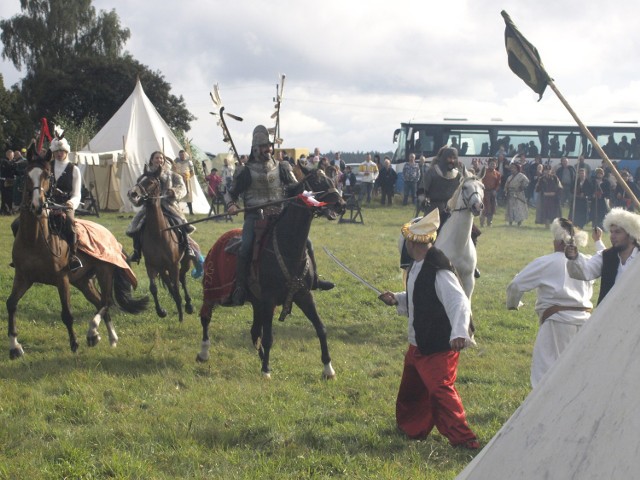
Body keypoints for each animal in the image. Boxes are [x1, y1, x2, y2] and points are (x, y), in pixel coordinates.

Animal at [6, 156, 149, 358]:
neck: (35, 239)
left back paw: (93, 333)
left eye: (46, 175)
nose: (37, 205)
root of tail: (111, 237)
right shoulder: (23, 277)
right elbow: (11, 304)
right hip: (83, 281)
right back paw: (110, 338)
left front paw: (74, 344)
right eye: (27, 175)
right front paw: (15, 347)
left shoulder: (62, 279)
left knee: (106, 302)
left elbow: (67, 313)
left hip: (104, 273)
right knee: (100, 302)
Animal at [127, 168, 192, 322]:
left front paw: (181, 316)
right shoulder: (151, 265)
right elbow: (153, 288)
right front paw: (161, 311)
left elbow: (177, 285)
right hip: (162, 268)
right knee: (169, 283)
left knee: (182, 279)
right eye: (138, 180)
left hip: (184, 262)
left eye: (150, 182)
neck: (158, 234)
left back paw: (188, 305)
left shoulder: (174, 265)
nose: (133, 193)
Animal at [196, 168, 344, 378]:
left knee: (254, 332)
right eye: (317, 182)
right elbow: (268, 337)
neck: (288, 247)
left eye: (331, 178)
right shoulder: (269, 300)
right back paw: (204, 352)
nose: (341, 205)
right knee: (205, 318)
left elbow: (321, 328)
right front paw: (266, 371)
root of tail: (220, 240)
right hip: (212, 290)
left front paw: (328, 368)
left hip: (256, 303)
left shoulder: (303, 296)